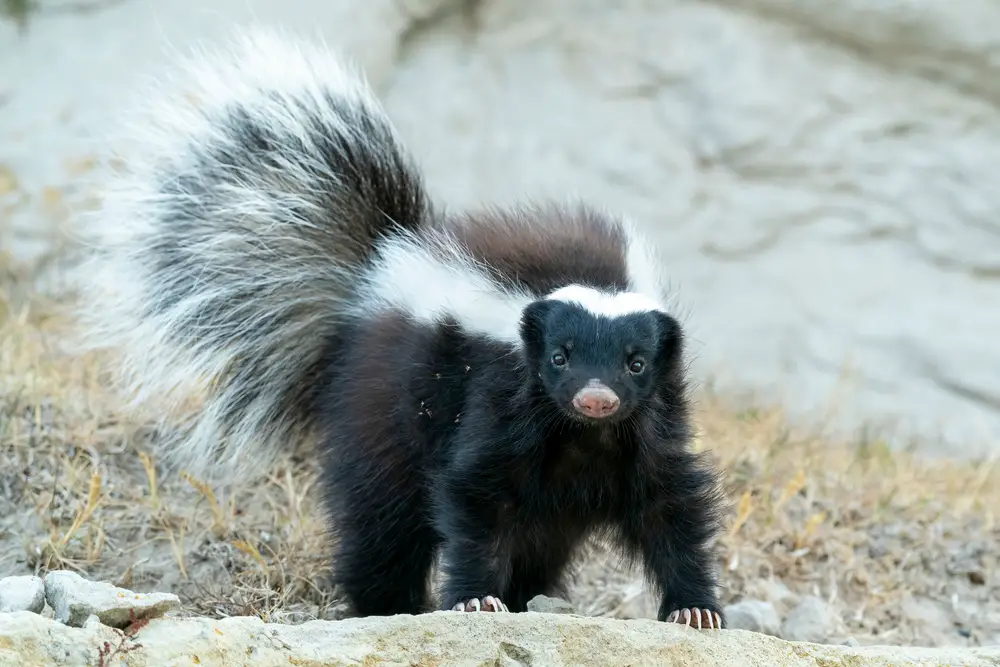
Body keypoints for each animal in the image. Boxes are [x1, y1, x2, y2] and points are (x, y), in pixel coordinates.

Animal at [76, 27, 728, 632]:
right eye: (560, 357)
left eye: (635, 362)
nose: (596, 398)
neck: (582, 437)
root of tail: (379, 264)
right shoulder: (497, 399)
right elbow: (473, 495)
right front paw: (474, 599)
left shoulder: (648, 425)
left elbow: (669, 506)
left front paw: (695, 609)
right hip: (381, 411)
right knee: (382, 521)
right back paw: (387, 603)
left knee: (536, 541)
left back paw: (522, 598)